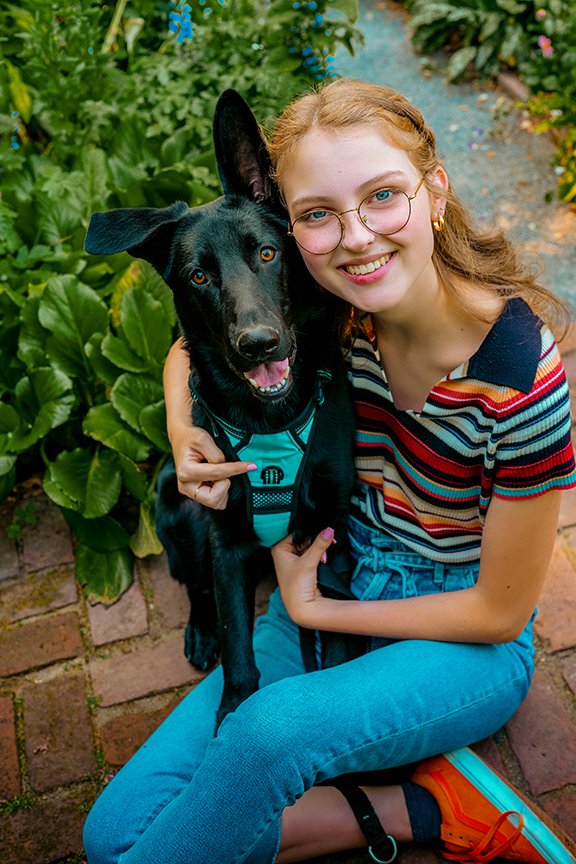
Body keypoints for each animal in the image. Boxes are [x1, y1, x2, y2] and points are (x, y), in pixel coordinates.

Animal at [83, 93, 358, 728]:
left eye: (268, 253)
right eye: (199, 275)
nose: (258, 344)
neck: (272, 420)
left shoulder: (332, 531)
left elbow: (332, 637)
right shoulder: (225, 539)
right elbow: (238, 643)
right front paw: (233, 711)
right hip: (173, 501)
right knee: (197, 589)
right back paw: (199, 632)